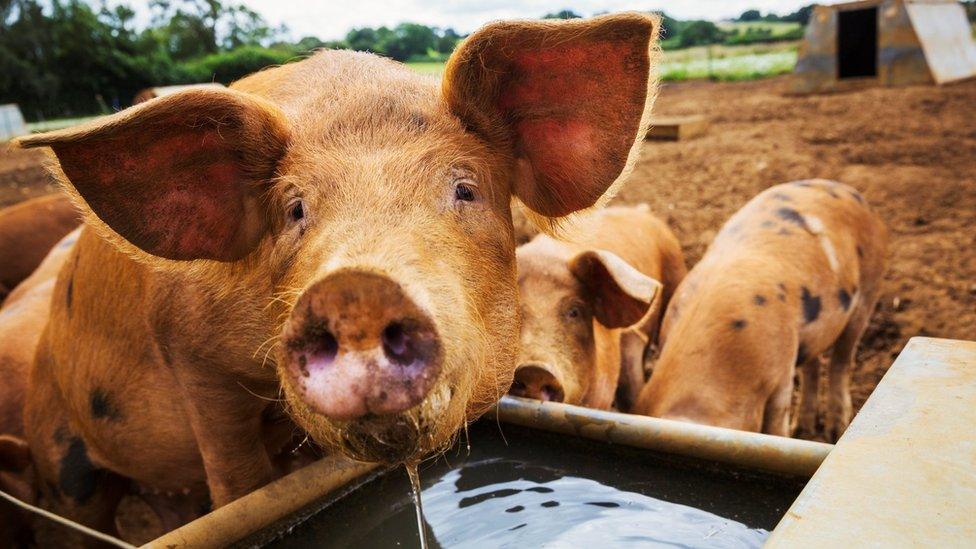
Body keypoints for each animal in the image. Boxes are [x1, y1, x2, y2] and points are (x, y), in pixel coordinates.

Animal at [5, 13, 664, 540]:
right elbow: (240, 486)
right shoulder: (189, 356)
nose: (357, 290)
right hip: (62, 456)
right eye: (295, 209)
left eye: (466, 189)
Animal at [636, 181, 888, 440]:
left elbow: (775, 425)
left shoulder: (783, 373)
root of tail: (854, 194)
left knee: (841, 360)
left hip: (869, 289)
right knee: (813, 364)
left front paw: (783, 438)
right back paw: (802, 430)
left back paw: (834, 432)